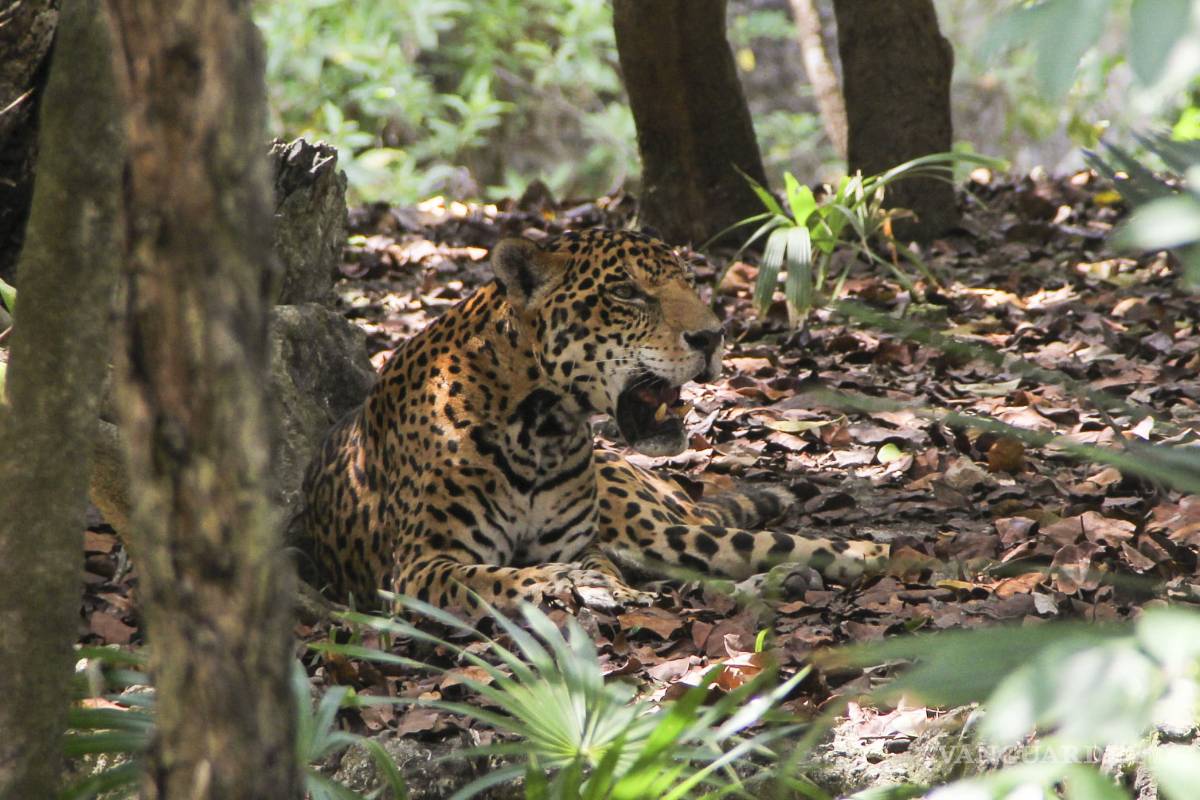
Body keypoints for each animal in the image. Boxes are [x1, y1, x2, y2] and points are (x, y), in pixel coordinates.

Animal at [301, 228, 889, 615]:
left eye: (689, 283)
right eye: (626, 292)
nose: (713, 336)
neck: (541, 428)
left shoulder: (579, 543)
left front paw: (593, 585)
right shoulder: (420, 569)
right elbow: (494, 579)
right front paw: (572, 586)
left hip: (655, 528)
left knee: (754, 548)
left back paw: (863, 556)